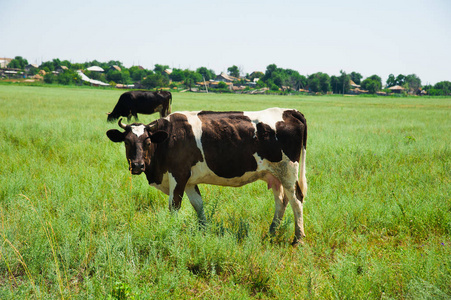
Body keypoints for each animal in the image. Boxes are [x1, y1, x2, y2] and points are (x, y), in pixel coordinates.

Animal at [107, 107, 308, 244]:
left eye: (147, 142)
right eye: (127, 142)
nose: (137, 165)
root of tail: (289, 111)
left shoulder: (178, 175)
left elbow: (174, 206)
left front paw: (171, 231)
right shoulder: (188, 181)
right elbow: (198, 205)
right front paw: (203, 230)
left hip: (289, 172)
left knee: (296, 200)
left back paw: (298, 239)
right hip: (275, 175)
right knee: (281, 201)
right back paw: (271, 232)